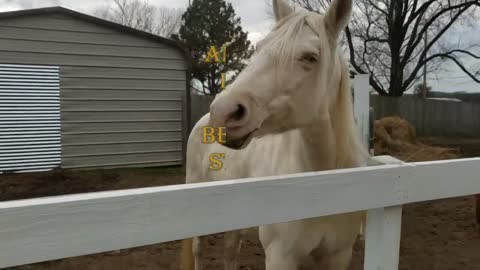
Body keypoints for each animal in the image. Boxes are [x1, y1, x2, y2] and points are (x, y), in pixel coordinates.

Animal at [178, 0, 370, 268]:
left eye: (310, 57)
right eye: (259, 48)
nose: (223, 113)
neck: (320, 183)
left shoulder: (338, 255)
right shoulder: (281, 256)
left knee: (230, 252)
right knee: (199, 249)